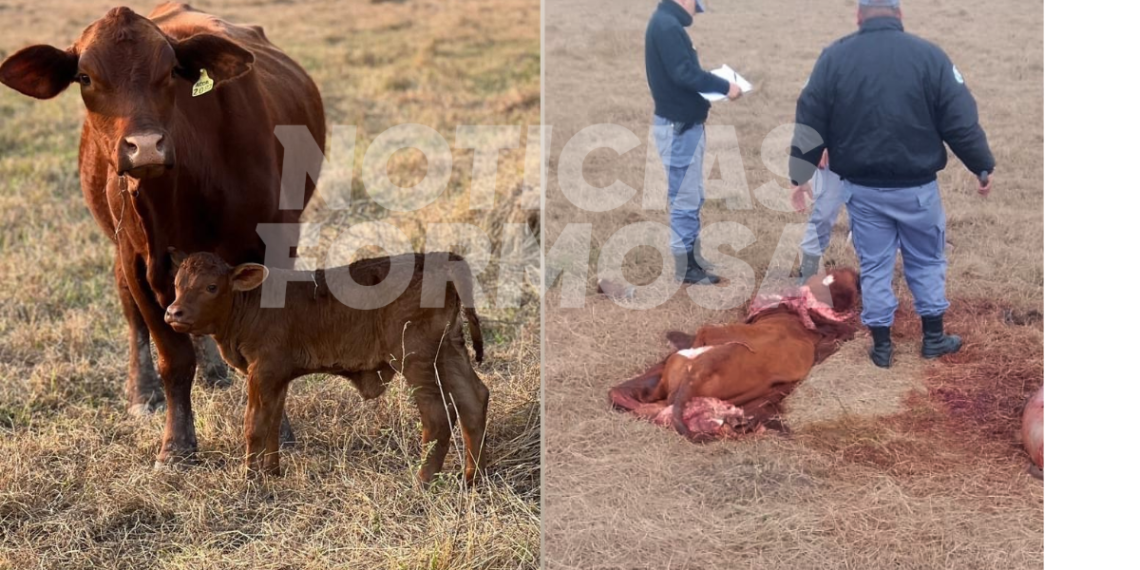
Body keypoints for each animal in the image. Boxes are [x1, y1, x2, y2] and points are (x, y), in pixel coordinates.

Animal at [0, 3, 326, 466]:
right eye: (84, 77)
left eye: (171, 70)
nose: (145, 146)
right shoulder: (138, 262)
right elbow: (173, 358)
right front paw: (176, 445)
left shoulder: (277, 243)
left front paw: (280, 433)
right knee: (133, 314)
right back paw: (143, 393)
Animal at [163, 251, 490, 484]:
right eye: (177, 285)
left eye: (211, 286)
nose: (173, 312)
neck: (252, 304)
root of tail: (441, 258)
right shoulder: (278, 377)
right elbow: (273, 421)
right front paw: (271, 471)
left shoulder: (264, 371)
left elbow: (254, 425)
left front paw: (250, 479)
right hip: (448, 350)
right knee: (474, 400)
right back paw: (472, 476)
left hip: (415, 359)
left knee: (438, 416)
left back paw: (422, 480)